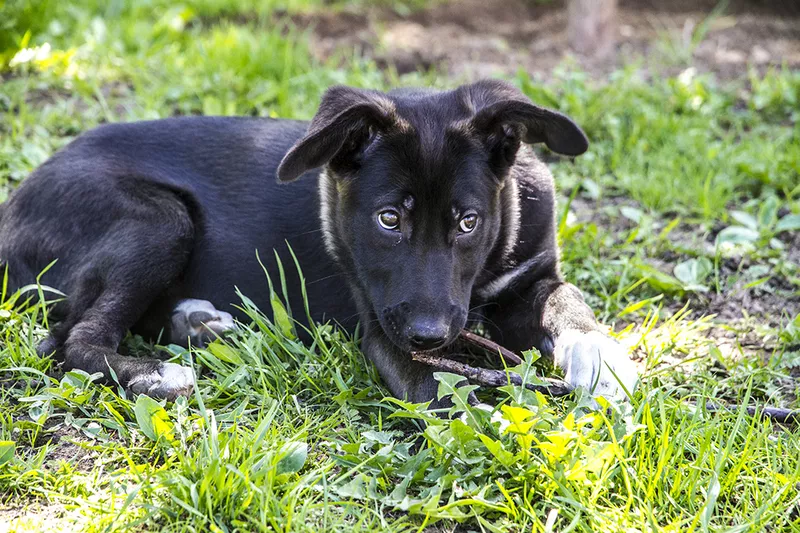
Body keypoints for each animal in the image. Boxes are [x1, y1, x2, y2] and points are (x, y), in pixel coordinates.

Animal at [0, 80, 636, 400]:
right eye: (388, 220)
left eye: (468, 222)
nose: (430, 334)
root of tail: (11, 209)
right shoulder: (383, 323)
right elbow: (437, 389)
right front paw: (479, 422)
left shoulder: (533, 277)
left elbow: (568, 300)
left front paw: (601, 356)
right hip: (158, 220)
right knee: (73, 338)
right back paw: (157, 374)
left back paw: (200, 324)